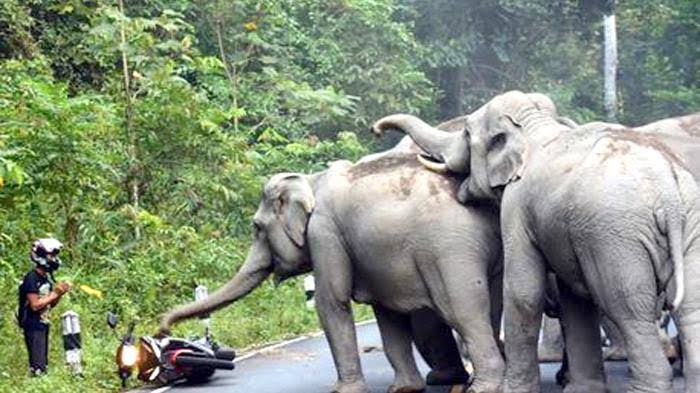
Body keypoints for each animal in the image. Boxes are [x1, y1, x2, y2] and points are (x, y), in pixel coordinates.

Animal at [159, 131, 508, 388]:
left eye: (256, 227)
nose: (162, 329)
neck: (311, 180)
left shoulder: (324, 234)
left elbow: (331, 302)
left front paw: (344, 390)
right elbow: (386, 313)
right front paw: (404, 388)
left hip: (449, 251)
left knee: (462, 311)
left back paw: (483, 386)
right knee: (491, 306)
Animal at [374, 89, 700, 392]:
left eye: (466, 133)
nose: (376, 129)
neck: (535, 126)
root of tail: (667, 193)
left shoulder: (516, 206)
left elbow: (523, 292)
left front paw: (514, 389)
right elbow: (574, 299)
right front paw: (580, 389)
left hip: (617, 237)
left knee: (629, 309)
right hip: (689, 226)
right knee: (690, 308)